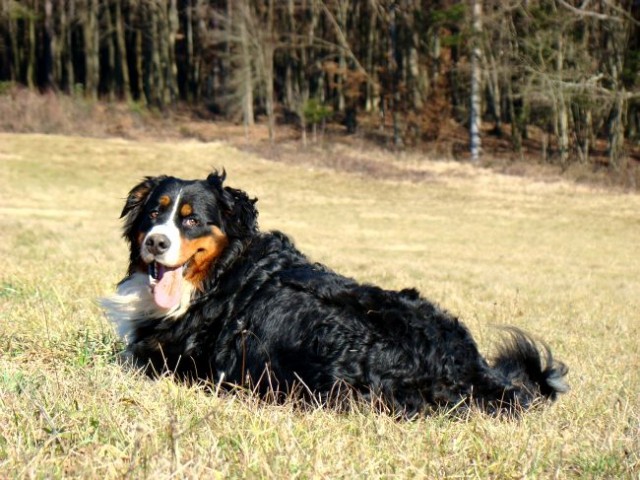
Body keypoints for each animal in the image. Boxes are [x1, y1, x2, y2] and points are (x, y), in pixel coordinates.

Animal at [101, 172, 568, 416]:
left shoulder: (170, 362)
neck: (222, 274)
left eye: (191, 219)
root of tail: (470, 369)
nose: (156, 242)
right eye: (154, 213)